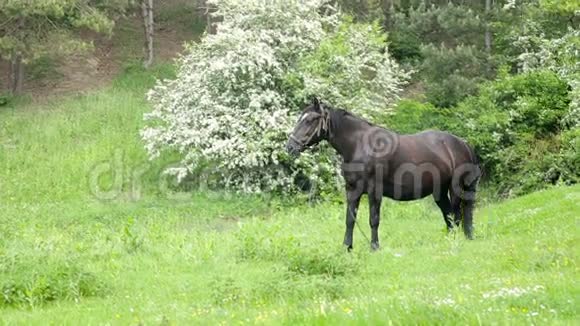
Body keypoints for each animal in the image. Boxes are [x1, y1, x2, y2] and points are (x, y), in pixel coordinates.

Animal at [286, 98, 480, 251]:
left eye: (311, 119)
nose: (290, 147)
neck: (359, 145)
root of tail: (463, 144)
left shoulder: (374, 191)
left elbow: (374, 219)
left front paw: (374, 247)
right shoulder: (352, 190)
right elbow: (350, 219)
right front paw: (347, 247)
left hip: (456, 189)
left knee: (457, 215)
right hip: (439, 191)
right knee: (449, 216)